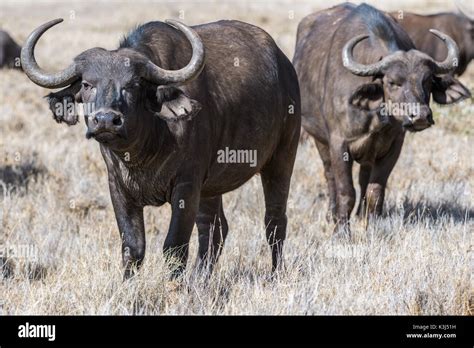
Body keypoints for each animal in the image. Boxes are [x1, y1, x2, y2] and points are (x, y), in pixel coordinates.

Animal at [22, 19, 300, 280]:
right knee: (214, 228)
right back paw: (200, 279)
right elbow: (133, 247)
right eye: (87, 84)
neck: (143, 151)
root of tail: (285, 66)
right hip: (211, 187)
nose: (106, 120)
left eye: (133, 85)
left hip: (281, 159)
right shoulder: (118, 187)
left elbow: (174, 246)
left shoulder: (187, 185)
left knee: (274, 221)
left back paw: (275, 273)